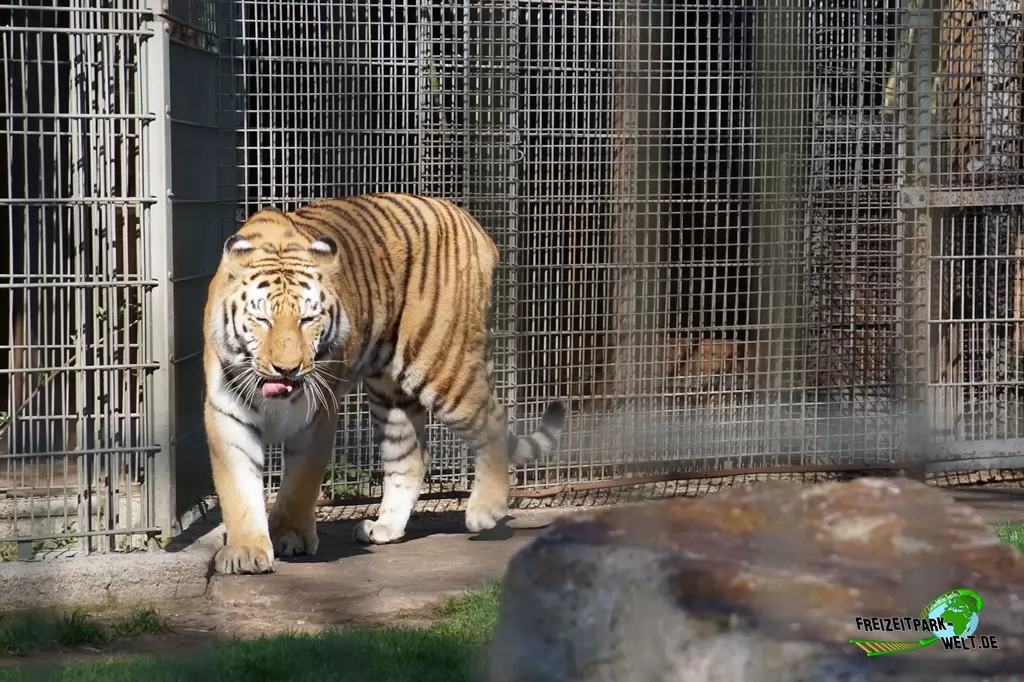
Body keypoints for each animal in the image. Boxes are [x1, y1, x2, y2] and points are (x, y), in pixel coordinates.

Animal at [202, 193, 567, 575]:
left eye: (307, 319)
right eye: (262, 319)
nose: (287, 369)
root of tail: (471, 222)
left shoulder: (319, 415)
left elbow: (301, 482)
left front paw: (291, 535)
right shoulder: (228, 413)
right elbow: (238, 488)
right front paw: (246, 551)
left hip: (443, 363)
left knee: (493, 420)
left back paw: (485, 511)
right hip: (390, 393)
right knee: (412, 456)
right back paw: (384, 527)